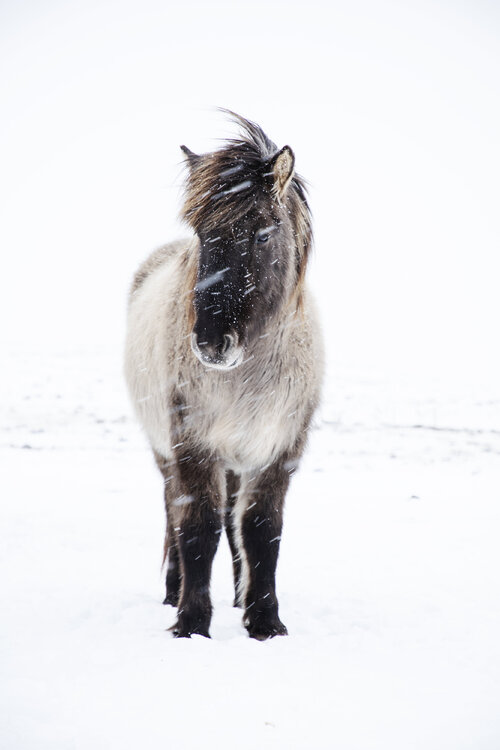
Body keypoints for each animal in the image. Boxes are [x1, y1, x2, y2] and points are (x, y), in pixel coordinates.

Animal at [124, 111, 323, 639]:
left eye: (262, 234)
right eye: (200, 233)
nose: (211, 344)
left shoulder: (277, 451)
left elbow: (260, 530)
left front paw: (264, 621)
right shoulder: (192, 446)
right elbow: (197, 528)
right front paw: (191, 622)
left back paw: (237, 597)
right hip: (166, 452)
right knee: (174, 512)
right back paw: (174, 591)